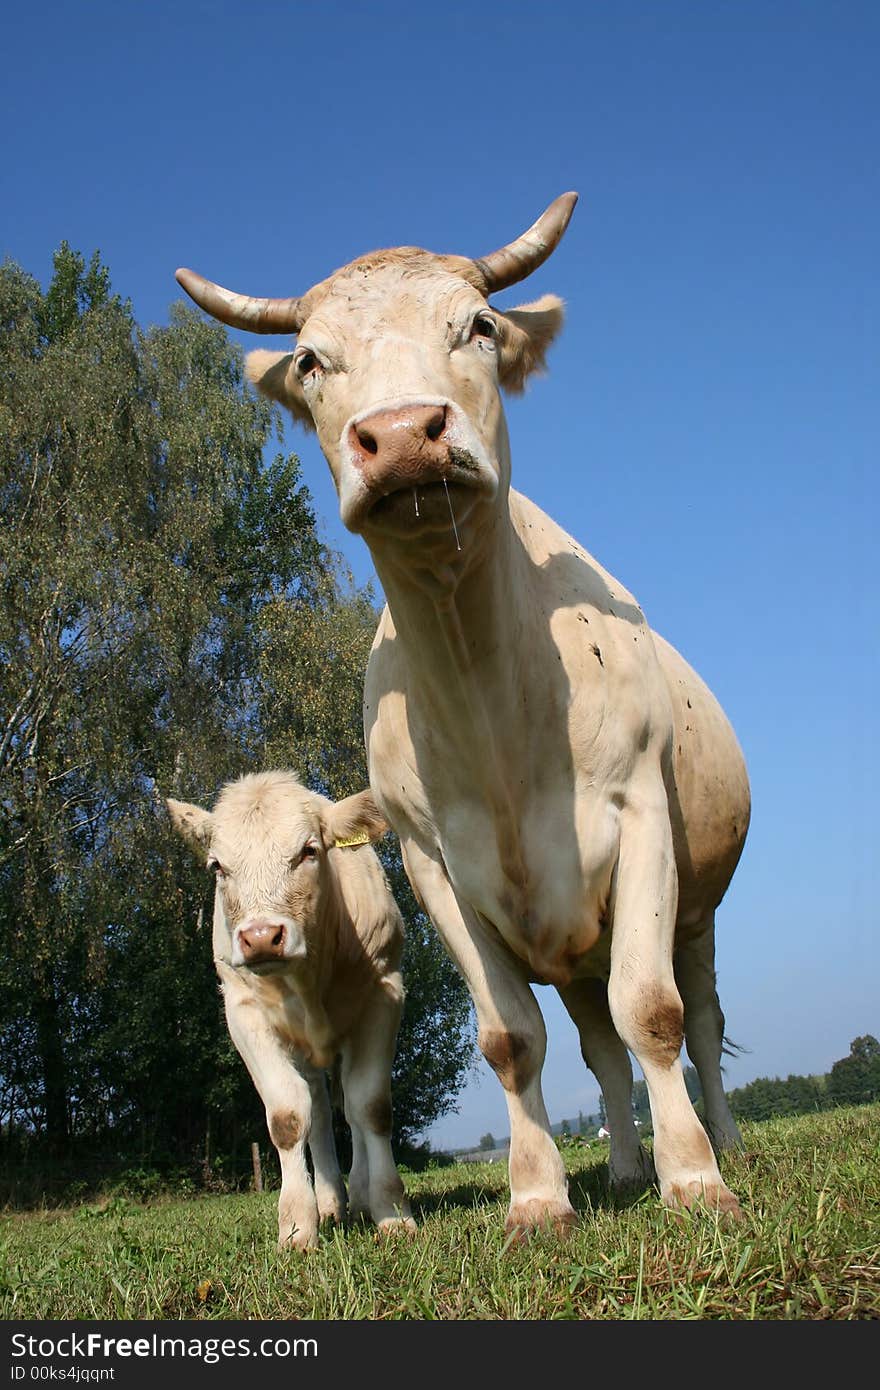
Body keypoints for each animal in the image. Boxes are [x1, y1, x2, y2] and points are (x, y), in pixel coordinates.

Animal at [166, 772, 417, 1251]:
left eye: (308, 850)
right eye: (217, 866)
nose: (262, 937)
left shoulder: (383, 994)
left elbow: (372, 1107)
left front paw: (392, 1212)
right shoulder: (243, 1012)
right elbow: (288, 1117)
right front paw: (298, 1226)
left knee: (349, 1109)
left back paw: (359, 1196)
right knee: (318, 1111)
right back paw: (331, 1203)